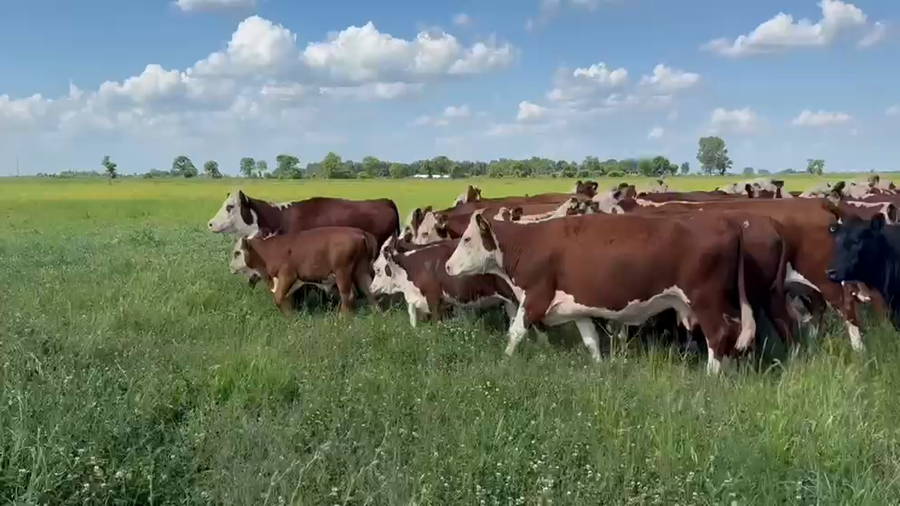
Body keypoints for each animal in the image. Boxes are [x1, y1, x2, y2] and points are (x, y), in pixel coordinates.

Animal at [233, 227, 378, 315]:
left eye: (236, 253)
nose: (231, 267)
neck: (267, 250)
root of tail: (361, 233)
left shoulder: (288, 275)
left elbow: (278, 297)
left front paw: (290, 317)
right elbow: (285, 298)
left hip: (342, 273)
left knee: (348, 296)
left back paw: (342, 318)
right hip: (361, 271)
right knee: (369, 291)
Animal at [444, 211, 755, 374]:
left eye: (467, 239)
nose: (447, 266)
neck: (528, 244)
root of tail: (724, 221)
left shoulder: (535, 298)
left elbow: (515, 333)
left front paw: (504, 361)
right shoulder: (578, 307)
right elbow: (591, 340)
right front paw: (599, 367)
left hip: (706, 299)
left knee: (718, 335)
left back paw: (711, 375)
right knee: (732, 333)